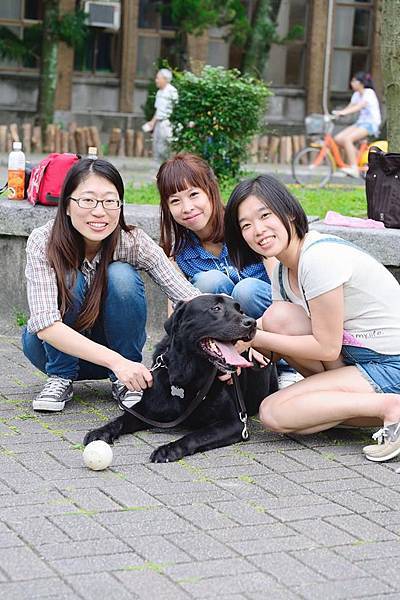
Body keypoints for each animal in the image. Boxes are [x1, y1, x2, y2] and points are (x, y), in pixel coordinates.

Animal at [84, 292, 278, 462]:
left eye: (240, 310)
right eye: (216, 308)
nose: (251, 322)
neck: (188, 373)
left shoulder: (235, 424)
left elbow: (196, 435)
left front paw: (168, 449)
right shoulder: (145, 410)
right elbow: (121, 419)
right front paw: (101, 431)